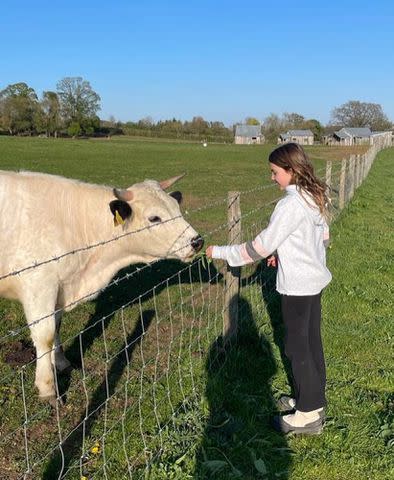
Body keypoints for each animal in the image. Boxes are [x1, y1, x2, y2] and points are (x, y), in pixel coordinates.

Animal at [0, 171, 203, 404]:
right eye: (154, 218)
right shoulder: (39, 285)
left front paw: (60, 363)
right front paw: (48, 389)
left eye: (176, 207)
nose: (197, 241)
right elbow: (46, 336)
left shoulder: (61, 288)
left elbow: (57, 327)